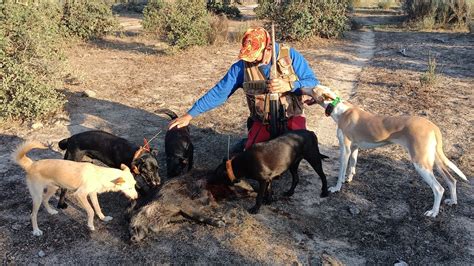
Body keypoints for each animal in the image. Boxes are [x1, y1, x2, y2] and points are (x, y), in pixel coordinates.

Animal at [304, 86, 466, 217]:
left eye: (313, 88)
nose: (299, 89)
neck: (339, 109)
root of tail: (433, 126)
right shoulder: (354, 148)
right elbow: (352, 167)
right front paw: (348, 179)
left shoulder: (345, 149)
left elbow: (341, 172)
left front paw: (337, 188)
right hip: (434, 160)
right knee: (452, 180)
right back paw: (453, 201)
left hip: (421, 163)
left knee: (438, 189)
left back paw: (433, 212)